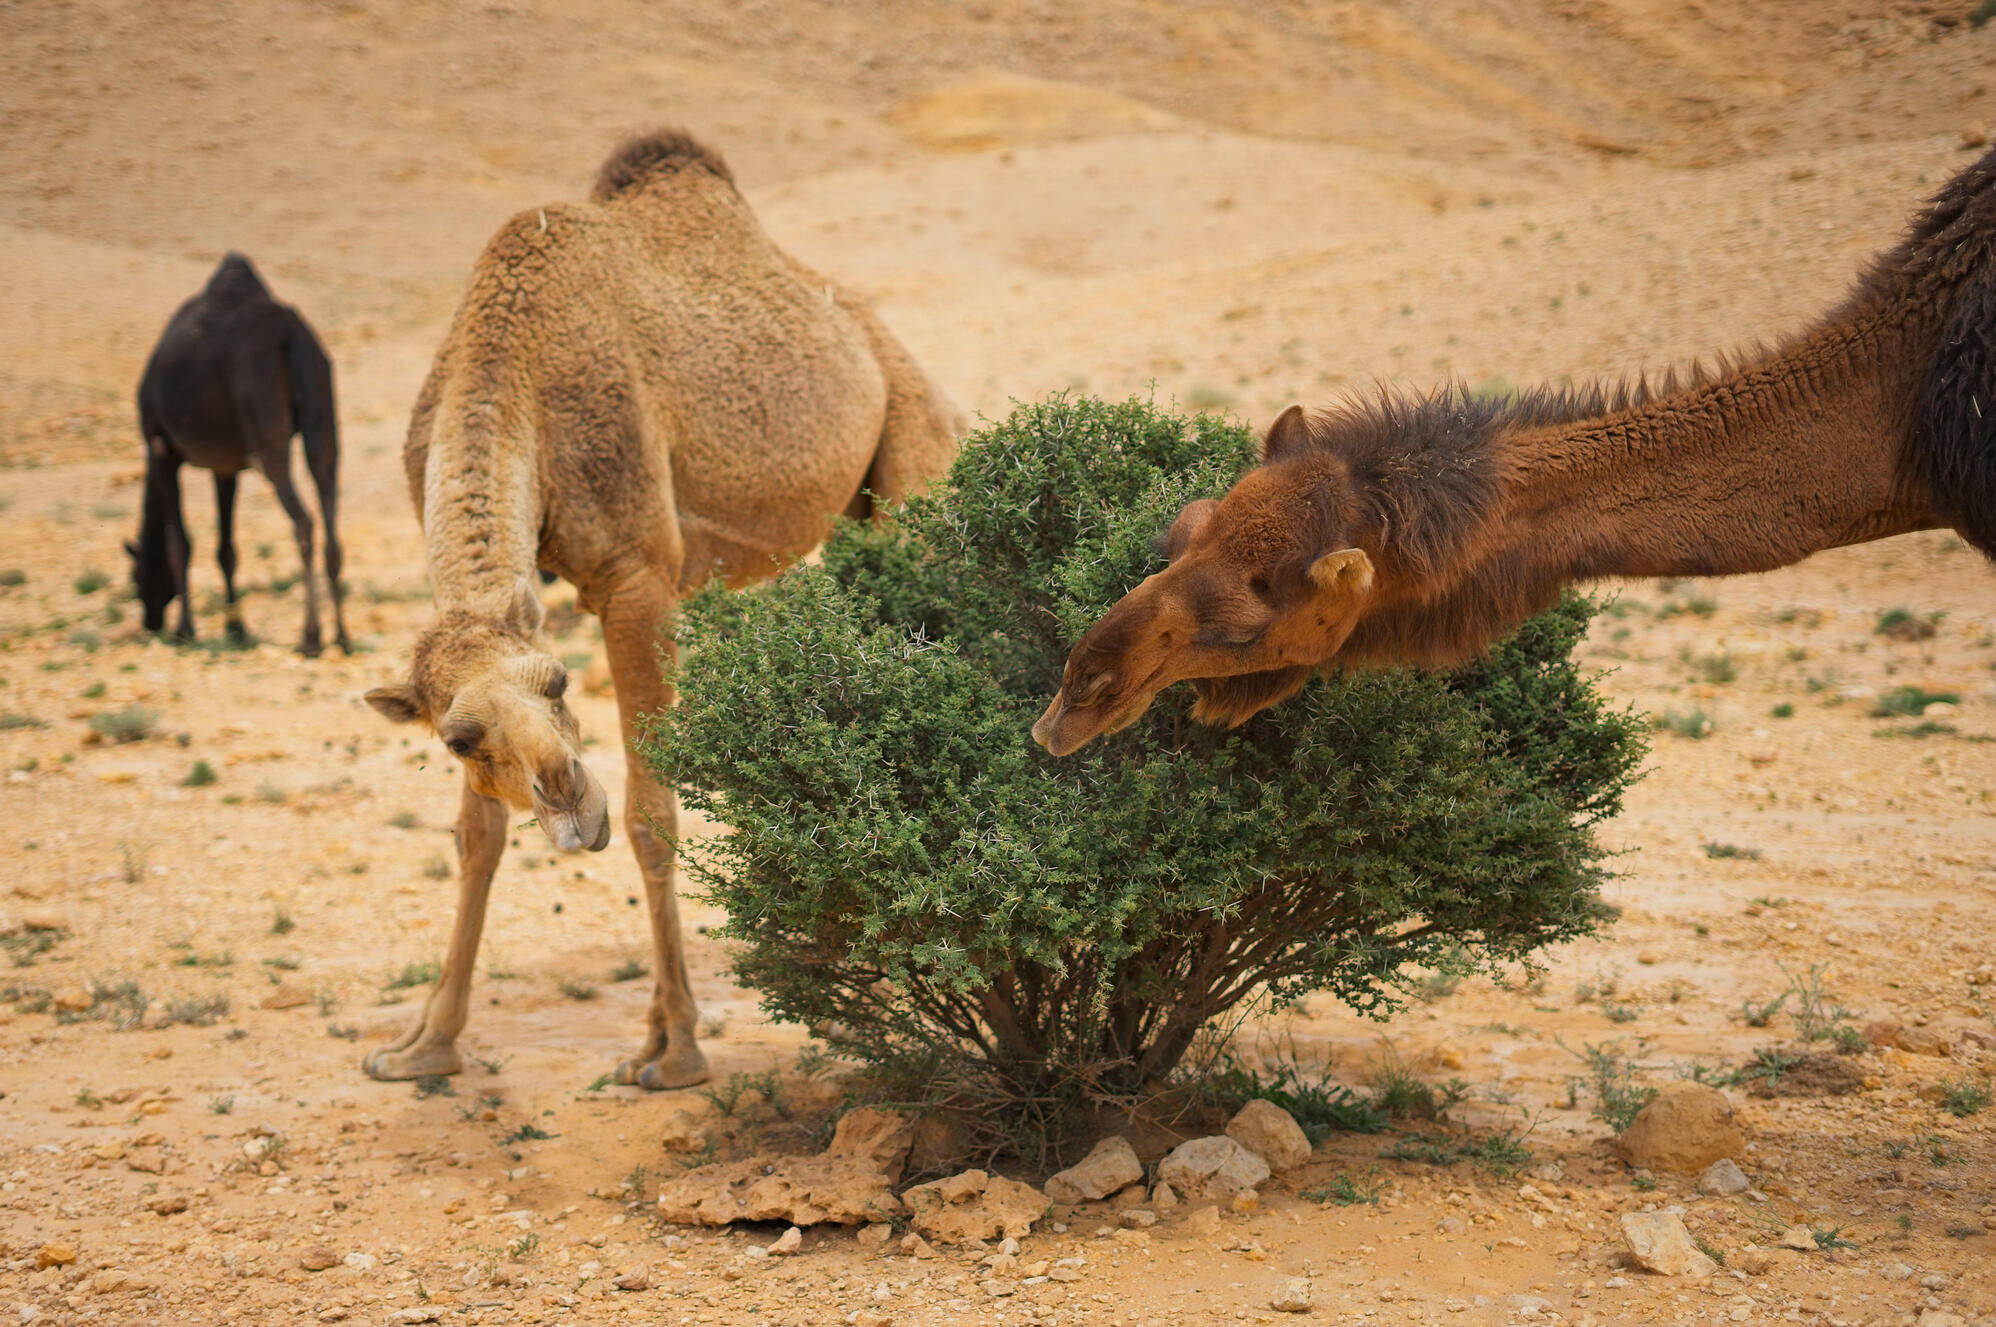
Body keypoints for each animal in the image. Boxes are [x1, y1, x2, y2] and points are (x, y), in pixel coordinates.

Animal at [132, 253, 348, 655]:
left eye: (135, 575)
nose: (150, 621)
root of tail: (290, 336)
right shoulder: (226, 467)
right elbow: (226, 549)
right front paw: (237, 628)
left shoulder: (161, 448)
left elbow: (179, 542)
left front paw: (185, 630)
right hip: (323, 415)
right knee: (328, 504)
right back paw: (343, 636)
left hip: (266, 427)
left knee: (304, 520)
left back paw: (310, 637)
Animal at [362, 130, 961, 1089]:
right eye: (457, 739)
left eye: (561, 681)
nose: (570, 795)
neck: (508, 359)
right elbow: (476, 831)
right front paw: (425, 1044)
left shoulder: (638, 575)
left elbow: (653, 813)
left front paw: (674, 1048)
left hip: (911, 454)